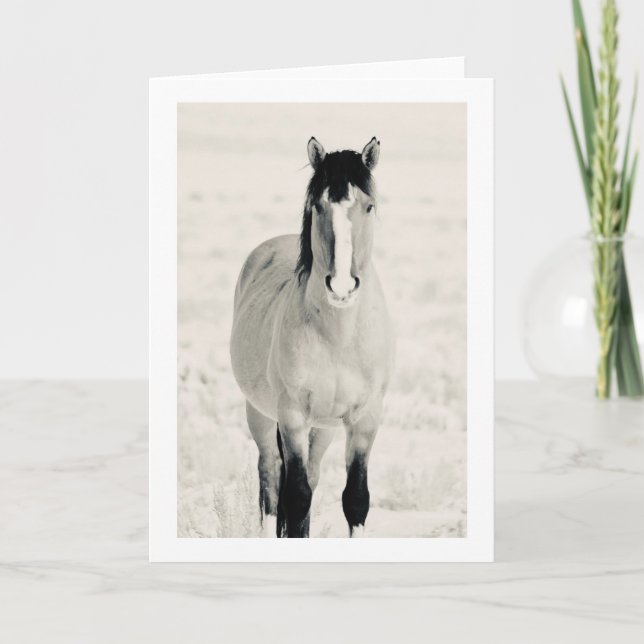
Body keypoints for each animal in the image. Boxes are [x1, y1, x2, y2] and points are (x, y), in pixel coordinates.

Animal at [230, 136, 394, 538]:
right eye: (317, 205)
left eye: (369, 206)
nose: (341, 286)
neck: (339, 337)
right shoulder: (291, 415)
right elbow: (296, 497)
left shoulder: (365, 418)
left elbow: (355, 499)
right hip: (259, 414)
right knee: (270, 481)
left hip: (324, 429)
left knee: (312, 477)